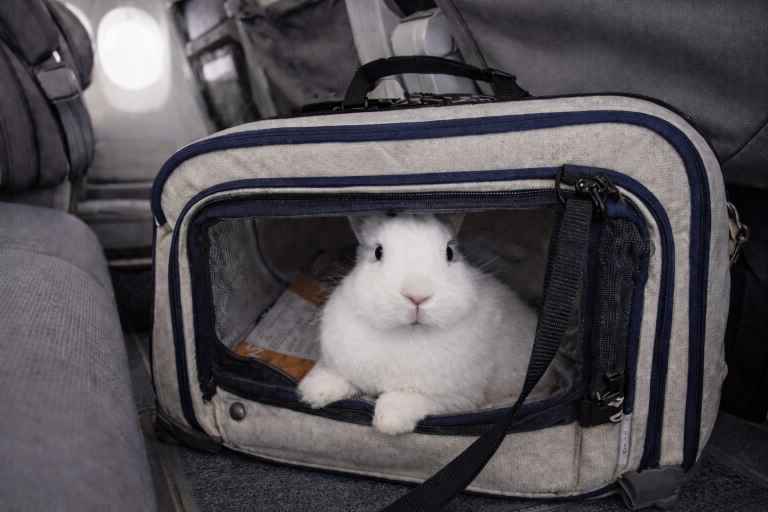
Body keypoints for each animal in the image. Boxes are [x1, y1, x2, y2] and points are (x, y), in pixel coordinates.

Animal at [298, 213, 555, 435]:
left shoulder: (454, 399)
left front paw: (389, 419)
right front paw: (313, 391)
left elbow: (414, 401)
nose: (417, 296)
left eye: (449, 252)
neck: (408, 332)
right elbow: (339, 378)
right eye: (378, 251)